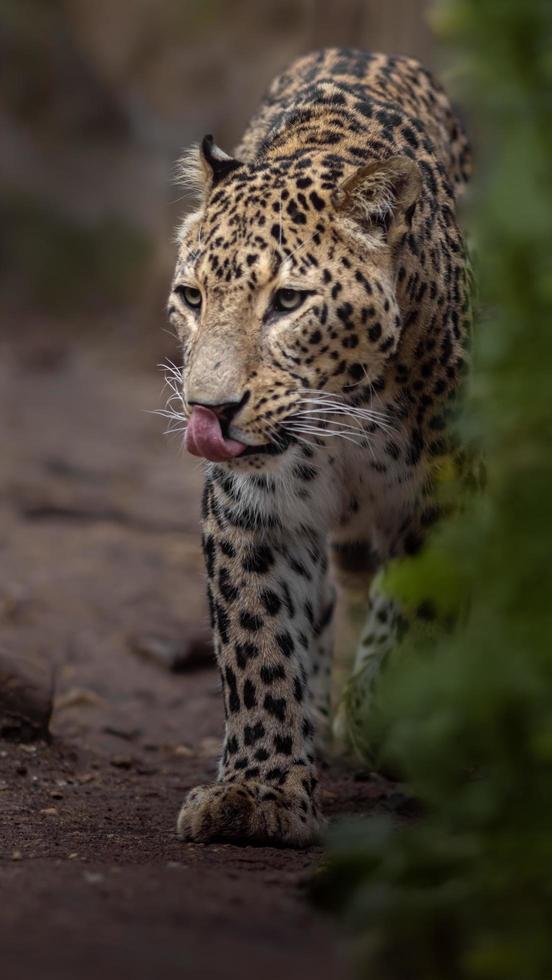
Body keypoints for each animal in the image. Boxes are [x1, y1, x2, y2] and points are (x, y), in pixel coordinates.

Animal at [166, 46, 472, 848]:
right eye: (191, 297)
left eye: (288, 303)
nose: (208, 410)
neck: (349, 413)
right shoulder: (252, 507)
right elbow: (257, 641)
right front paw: (257, 789)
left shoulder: (447, 493)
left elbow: (415, 612)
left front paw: (386, 714)